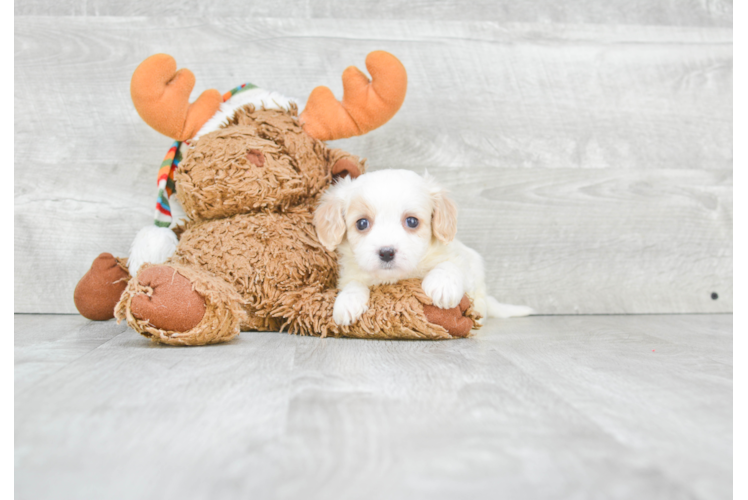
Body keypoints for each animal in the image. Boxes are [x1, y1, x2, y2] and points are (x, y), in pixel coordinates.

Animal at [312, 169, 536, 328]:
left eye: (411, 221)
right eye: (361, 224)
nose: (386, 252)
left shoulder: (461, 260)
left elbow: (450, 265)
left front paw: (442, 286)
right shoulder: (350, 274)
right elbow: (353, 284)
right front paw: (347, 302)